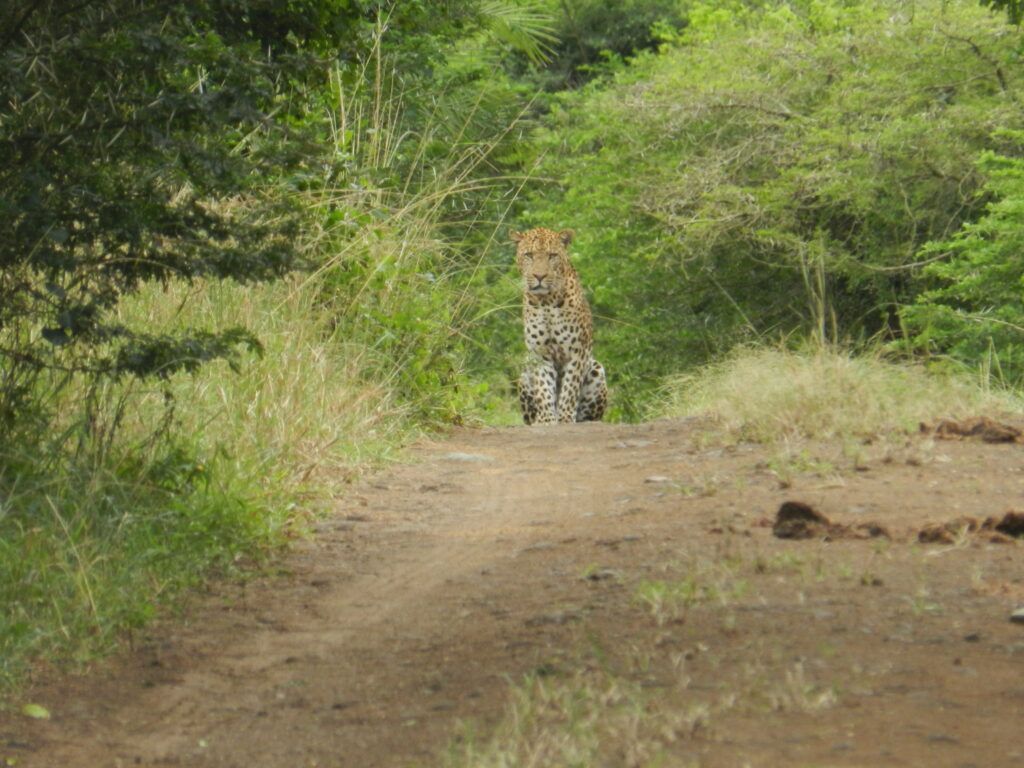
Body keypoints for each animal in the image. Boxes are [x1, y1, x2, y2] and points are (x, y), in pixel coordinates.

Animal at [511, 227, 608, 425]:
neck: (547, 301)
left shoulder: (578, 350)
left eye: (552, 256)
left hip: (596, 368)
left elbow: (570, 388)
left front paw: (564, 418)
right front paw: (547, 419)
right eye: (529, 255)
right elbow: (543, 386)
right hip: (525, 374)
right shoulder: (539, 351)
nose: (539, 276)